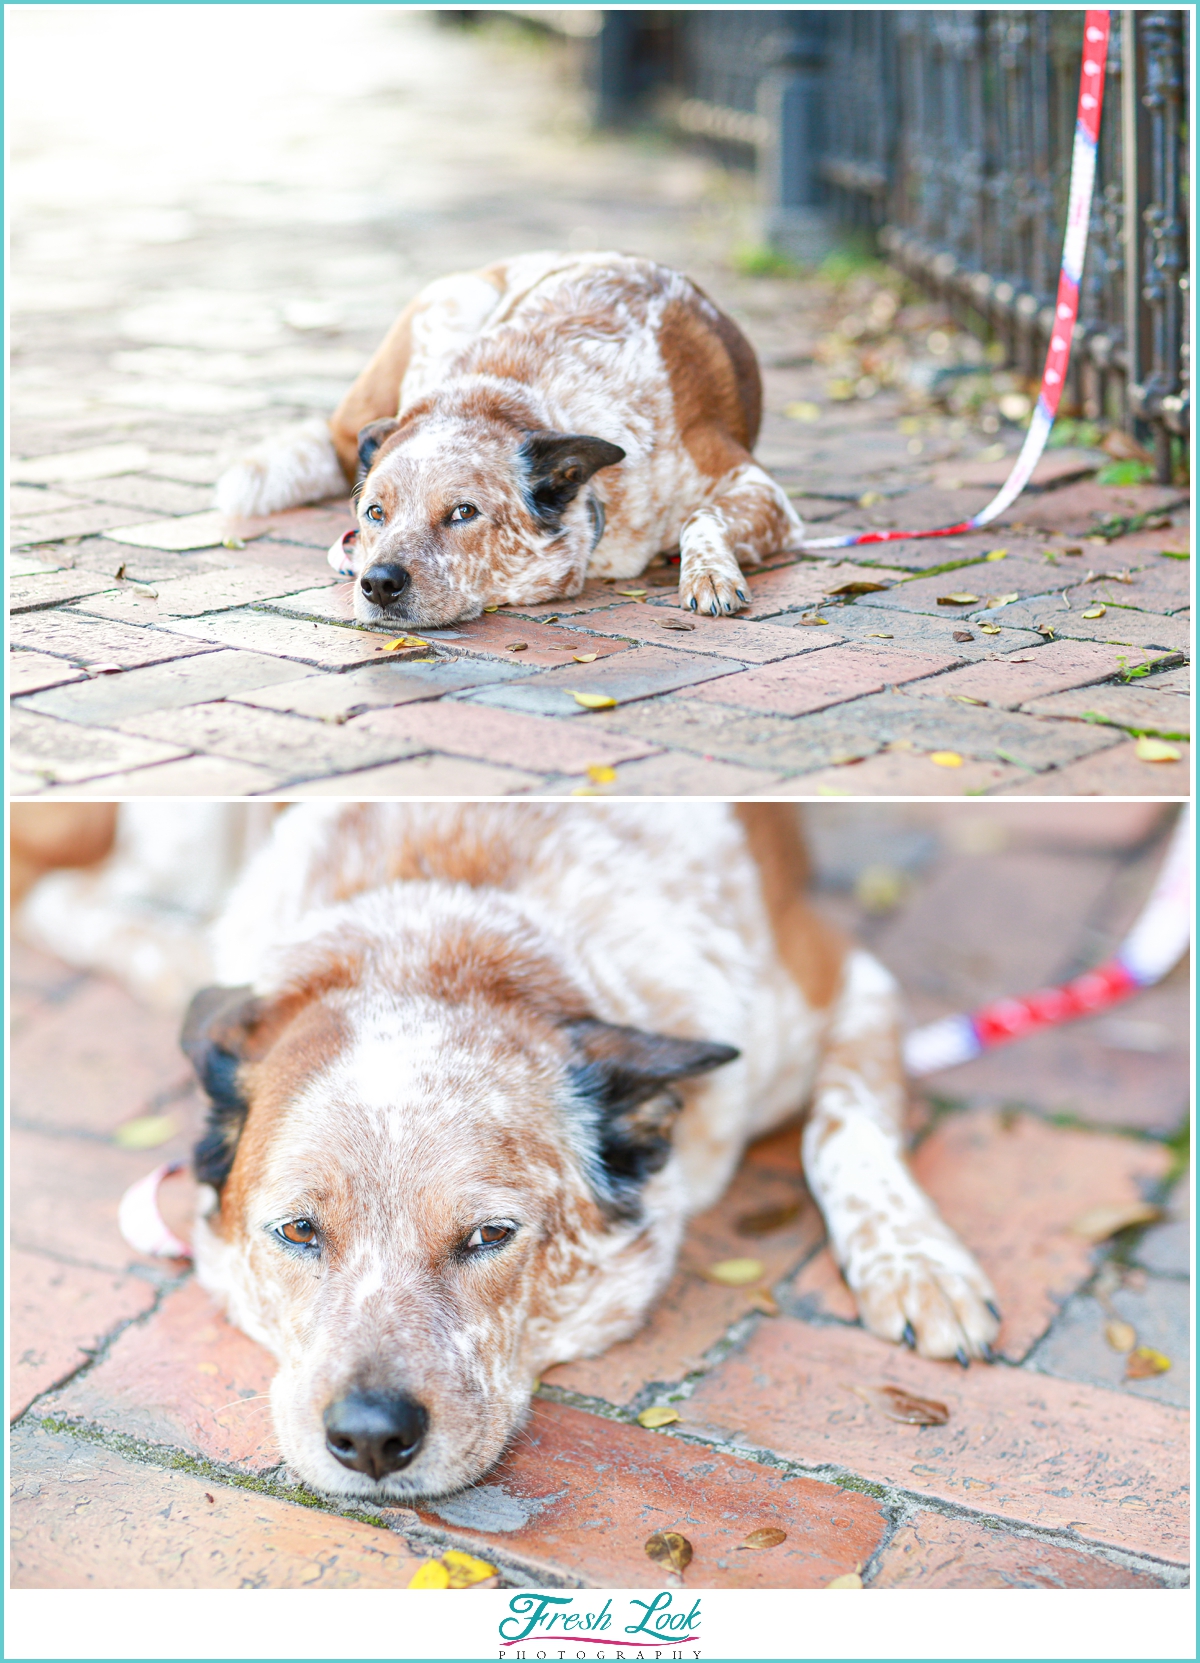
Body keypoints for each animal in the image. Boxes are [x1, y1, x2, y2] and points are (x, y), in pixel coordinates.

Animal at [152, 804, 990, 1510]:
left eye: (490, 1234)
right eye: (298, 1230)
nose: (370, 1435)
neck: (441, 925)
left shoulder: (850, 981)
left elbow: (844, 1123)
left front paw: (919, 1264)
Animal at [212, 249, 804, 625]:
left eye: (463, 512)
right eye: (374, 512)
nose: (378, 583)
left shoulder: (758, 487)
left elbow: (699, 517)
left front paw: (709, 575)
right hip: (452, 299)